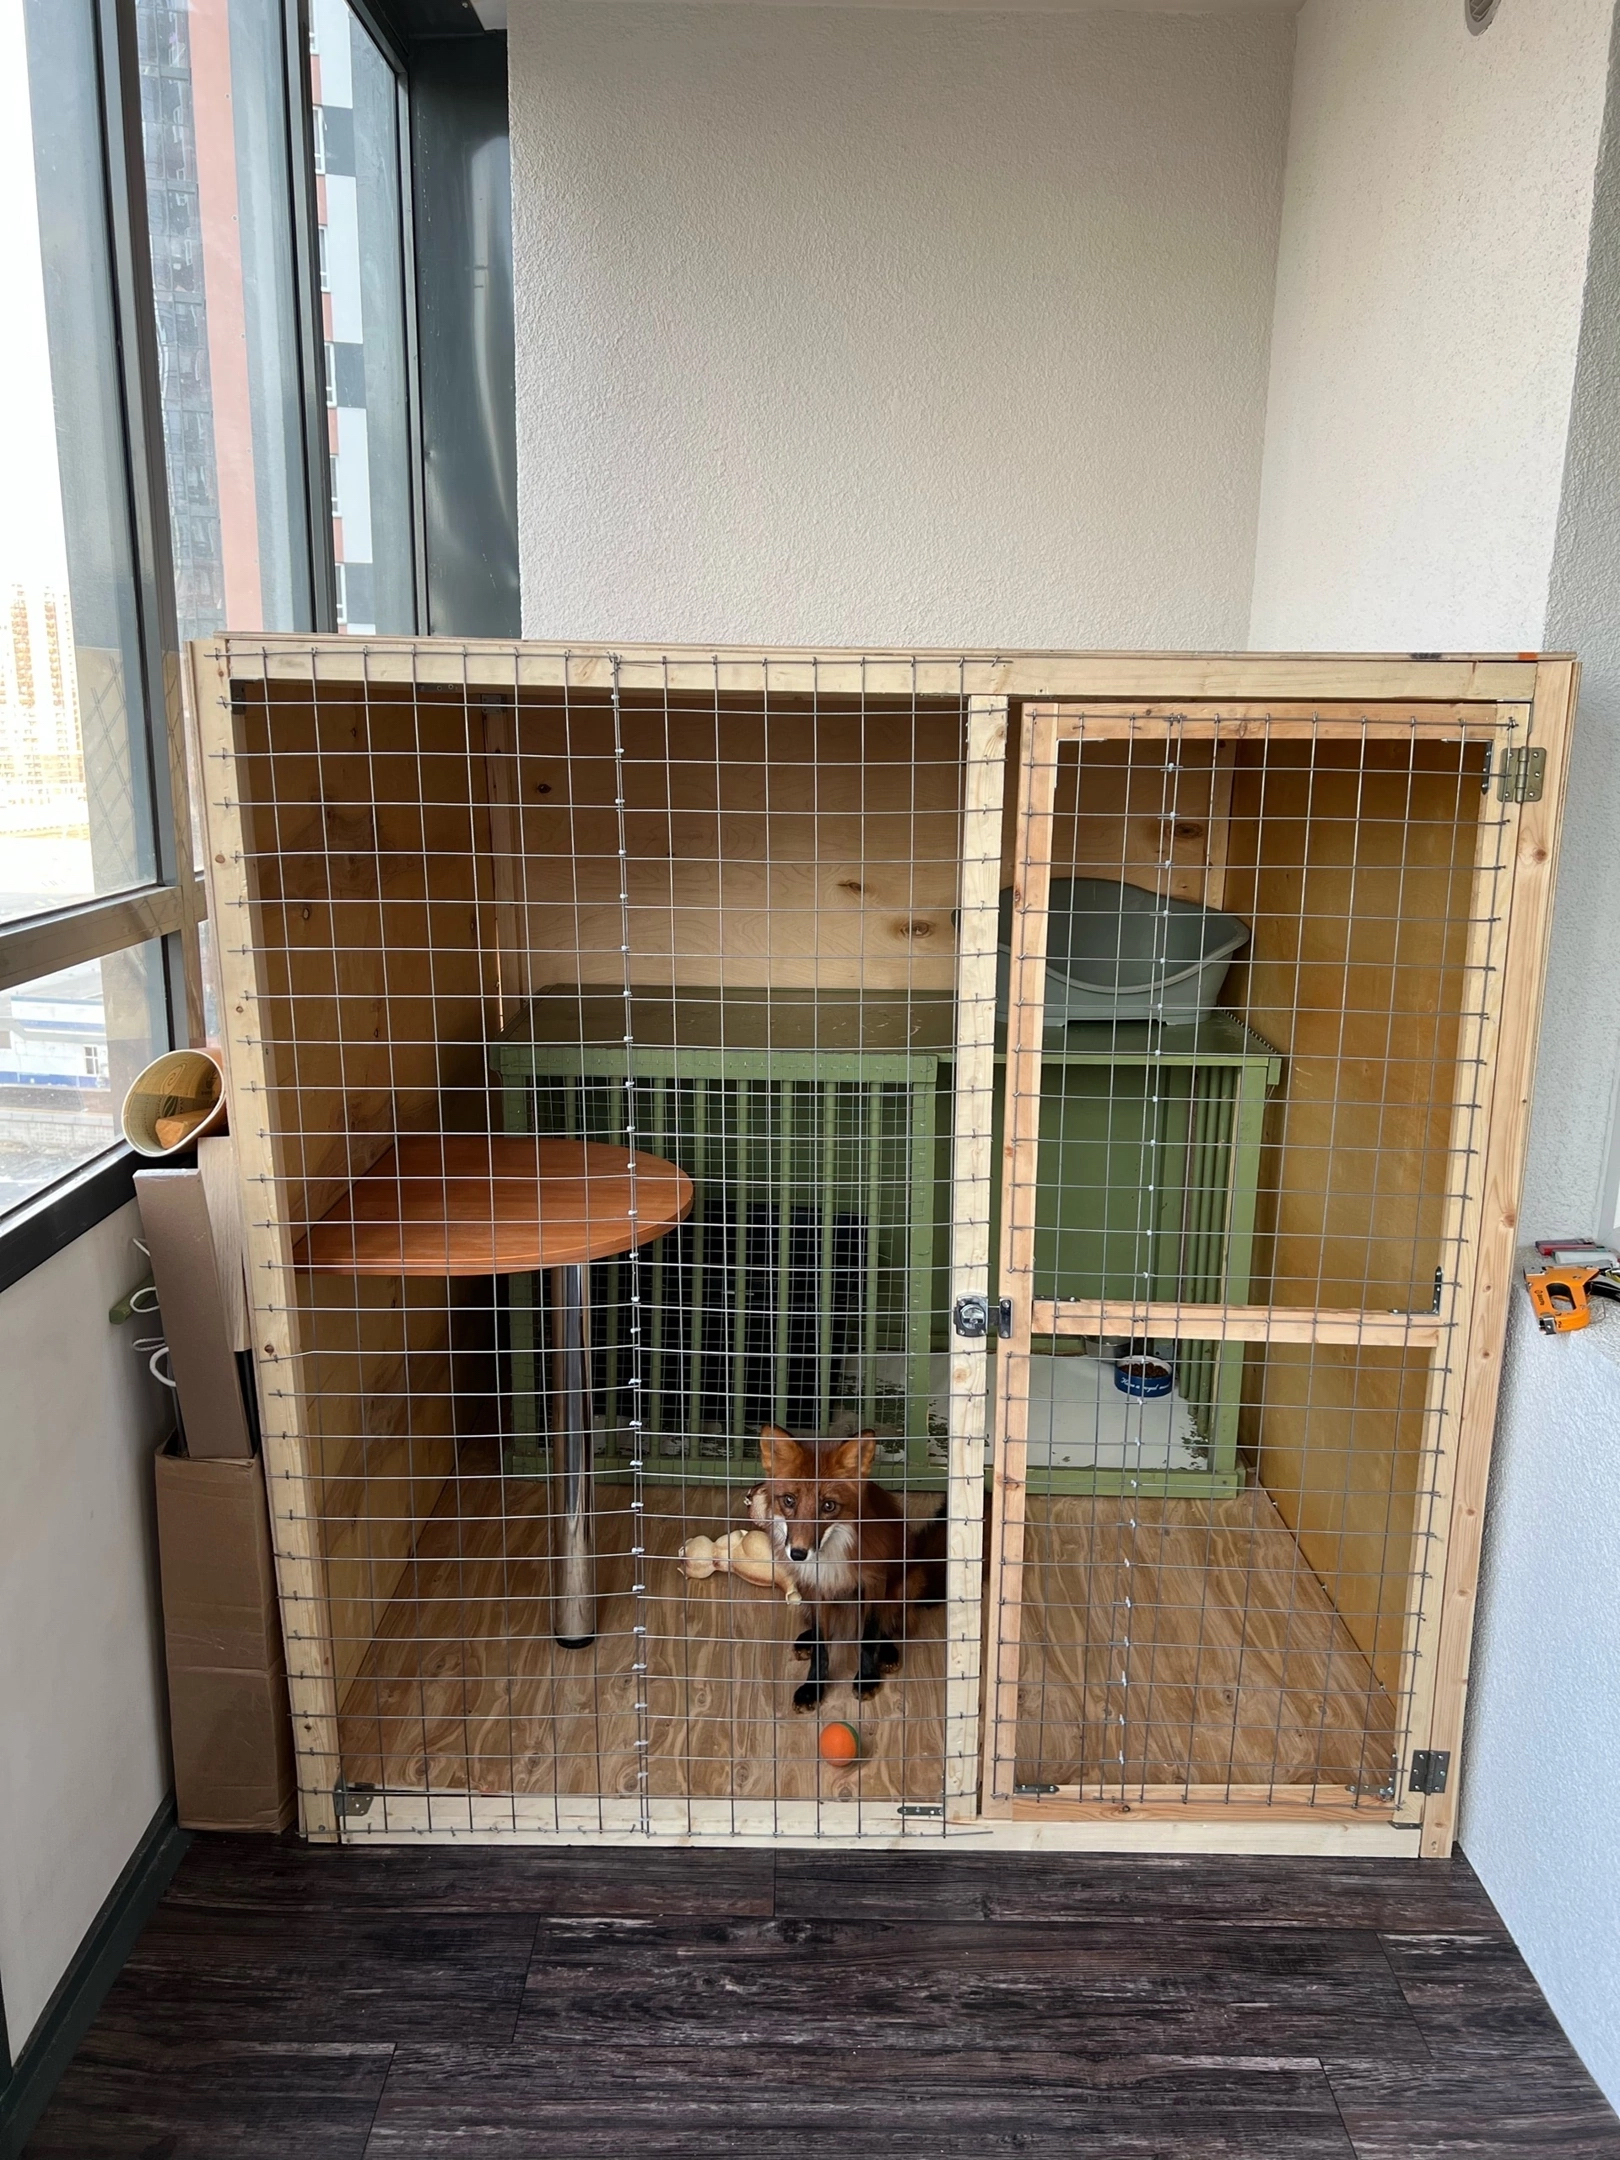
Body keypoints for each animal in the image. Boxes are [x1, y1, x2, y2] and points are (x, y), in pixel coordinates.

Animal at [753, 1425, 946, 1712]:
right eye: (789, 1500)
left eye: (828, 1506)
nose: (798, 1554)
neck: (831, 1554)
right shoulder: (816, 1586)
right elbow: (821, 1644)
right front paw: (813, 1688)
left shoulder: (874, 1581)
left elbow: (869, 1635)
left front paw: (867, 1678)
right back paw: (806, 1638)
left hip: (905, 1584)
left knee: (891, 1624)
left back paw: (887, 1651)